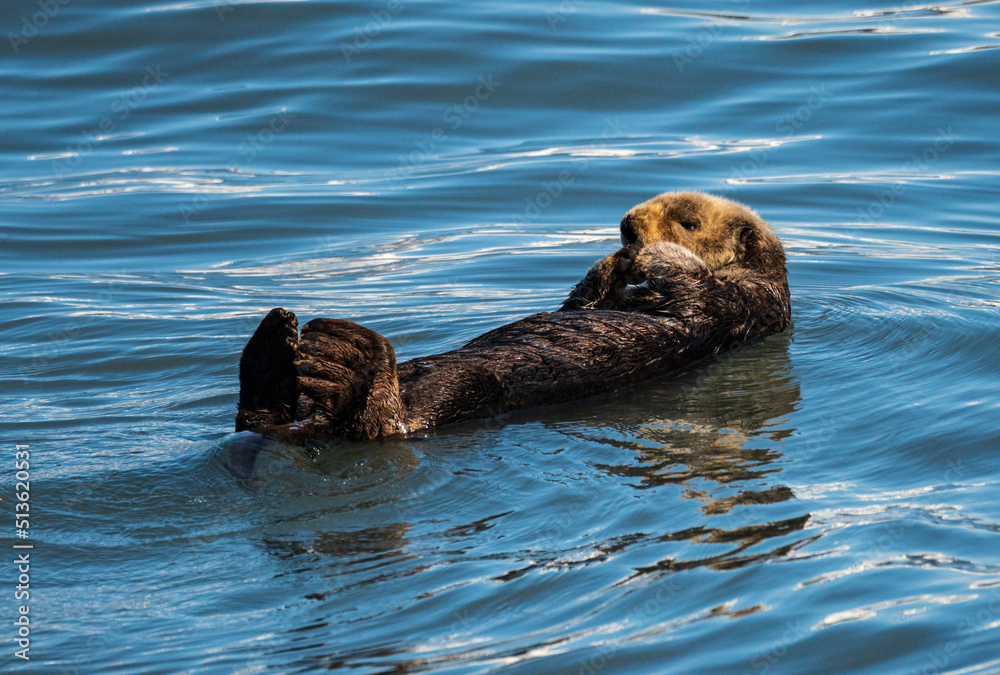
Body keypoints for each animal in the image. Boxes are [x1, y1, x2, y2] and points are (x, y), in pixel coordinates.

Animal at [235, 192, 790, 442]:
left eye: (690, 221)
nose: (628, 225)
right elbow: (580, 302)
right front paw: (610, 263)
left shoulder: (744, 302)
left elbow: (694, 287)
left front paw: (648, 254)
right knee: (260, 418)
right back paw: (275, 349)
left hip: (468, 386)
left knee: (385, 424)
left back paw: (347, 361)